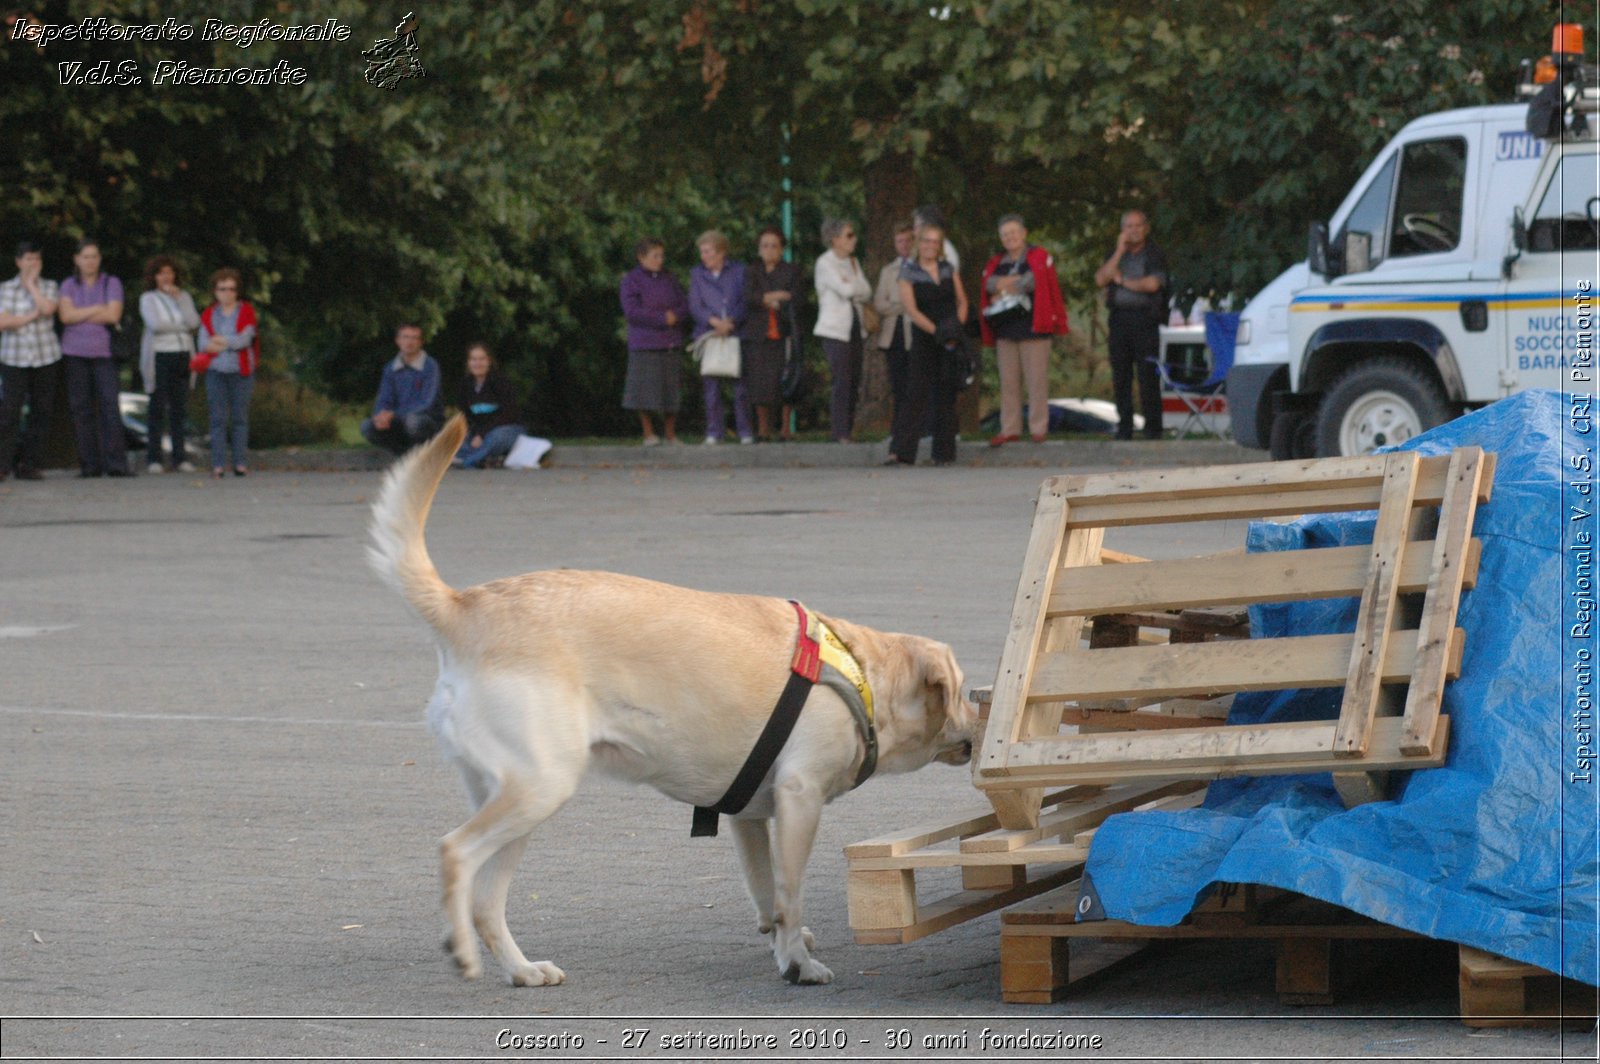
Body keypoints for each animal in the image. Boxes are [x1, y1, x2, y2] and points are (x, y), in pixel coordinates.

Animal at [371, 416, 972, 985]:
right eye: (965, 692)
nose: (978, 717)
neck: (861, 673)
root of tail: (462, 606)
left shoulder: (749, 816)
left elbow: (769, 899)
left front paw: (785, 950)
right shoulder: (800, 799)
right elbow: (791, 895)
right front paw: (801, 965)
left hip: (516, 802)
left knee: (486, 901)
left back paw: (522, 970)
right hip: (540, 787)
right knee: (455, 853)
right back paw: (464, 952)